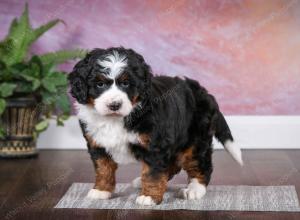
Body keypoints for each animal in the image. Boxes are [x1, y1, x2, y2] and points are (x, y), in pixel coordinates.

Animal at [69, 46, 243, 206]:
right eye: (99, 84)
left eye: (126, 83)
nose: (114, 105)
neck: (115, 119)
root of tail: (203, 92)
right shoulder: (97, 143)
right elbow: (103, 168)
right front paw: (101, 190)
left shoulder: (155, 144)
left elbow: (153, 172)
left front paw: (149, 196)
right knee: (172, 165)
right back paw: (141, 181)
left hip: (196, 140)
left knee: (200, 165)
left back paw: (194, 190)